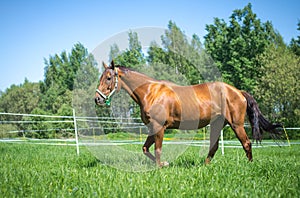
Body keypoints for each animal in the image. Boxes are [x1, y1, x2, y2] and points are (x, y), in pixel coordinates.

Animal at [95, 60, 282, 167]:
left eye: (109, 78)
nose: (97, 99)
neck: (151, 92)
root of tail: (238, 92)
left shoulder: (159, 127)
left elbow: (157, 150)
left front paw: (160, 167)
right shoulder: (152, 128)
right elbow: (145, 148)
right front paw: (164, 164)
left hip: (236, 125)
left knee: (246, 143)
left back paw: (249, 165)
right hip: (217, 124)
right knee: (214, 147)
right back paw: (204, 166)